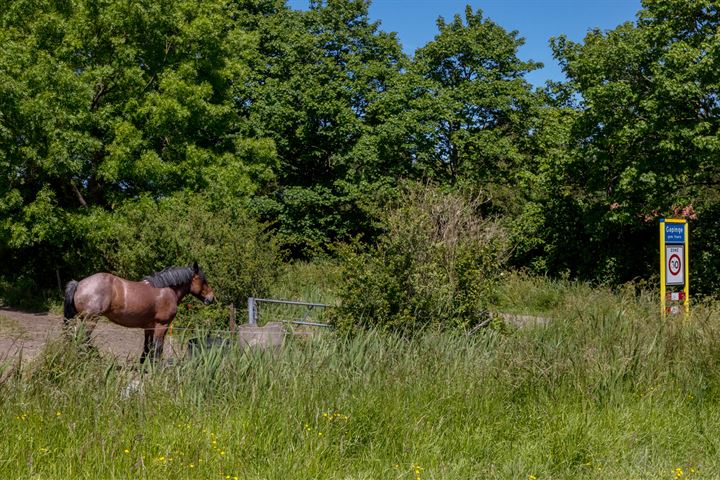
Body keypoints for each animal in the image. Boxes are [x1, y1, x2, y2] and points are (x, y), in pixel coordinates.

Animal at [64, 264, 214, 362]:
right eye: (203, 280)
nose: (211, 298)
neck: (167, 290)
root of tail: (79, 284)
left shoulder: (150, 327)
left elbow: (148, 346)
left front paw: (144, 364)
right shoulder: (162, 325)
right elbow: (158, 348)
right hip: (90, 320)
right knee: (83, 338)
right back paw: (92, 356)